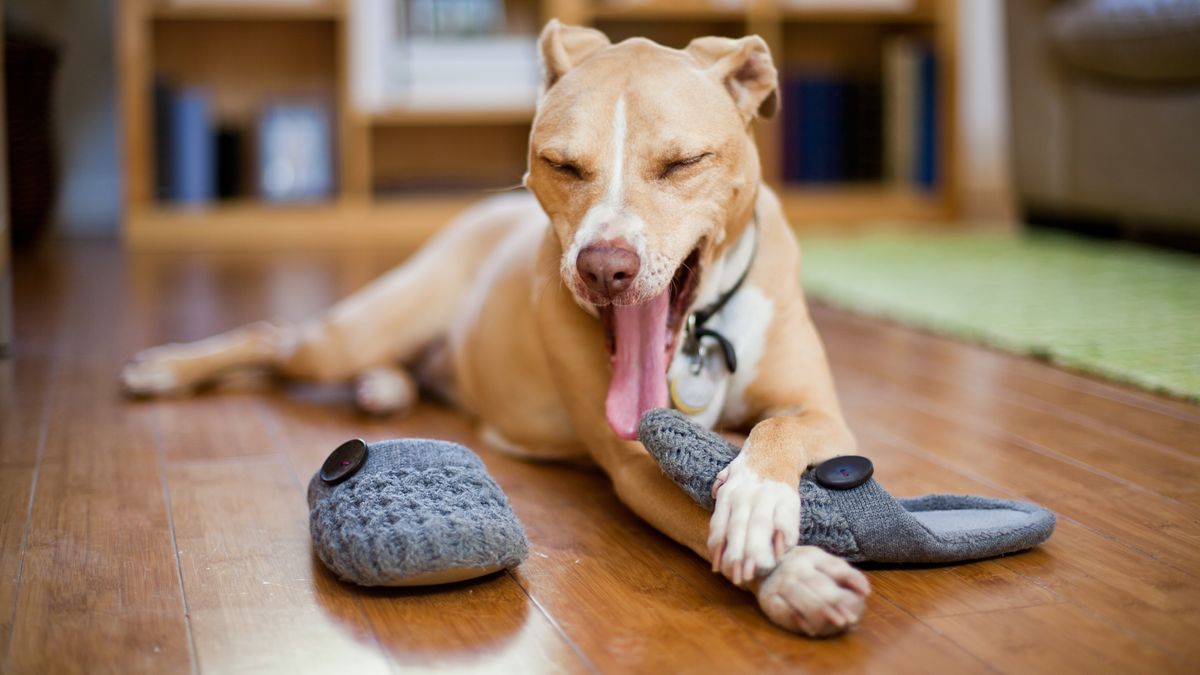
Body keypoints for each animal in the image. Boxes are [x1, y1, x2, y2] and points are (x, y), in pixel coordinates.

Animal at [121, 21, 873, 629]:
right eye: (562, 164)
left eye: (683, 162)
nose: (605, 267)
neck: (696, 332)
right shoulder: (635, 462)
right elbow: (693, 511)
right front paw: (792, 574)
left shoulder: (823, 413)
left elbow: (776, 430)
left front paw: (754, 499)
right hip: (346, 337)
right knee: (271, 335)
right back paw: (165, 367)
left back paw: (382, 388)